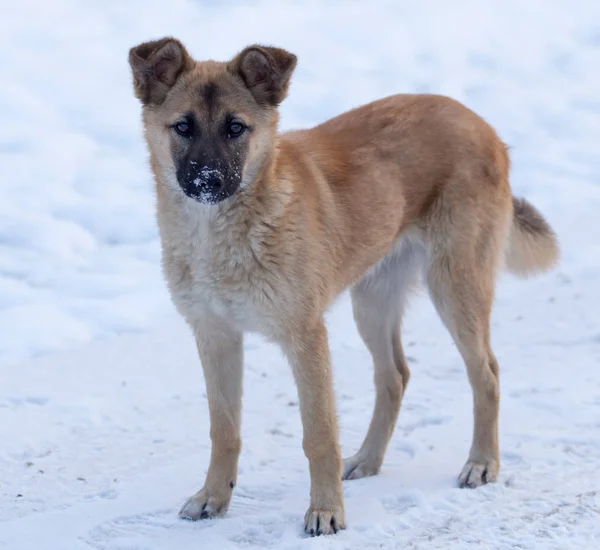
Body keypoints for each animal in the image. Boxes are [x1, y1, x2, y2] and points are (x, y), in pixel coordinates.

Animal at [129, 38, 560, 540]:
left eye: (236, 127)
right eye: (183, 126)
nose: (208, 181)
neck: (222, 235)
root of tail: (479, 121)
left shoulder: (305, 337)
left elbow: (318, 434)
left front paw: (325, 511)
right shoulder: (215, 337)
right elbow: (225, 430)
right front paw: (214, 498)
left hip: (455, 286)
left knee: (486, 373)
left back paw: (482, 462)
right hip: (372, 301)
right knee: (395, 376)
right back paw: (368, 460)